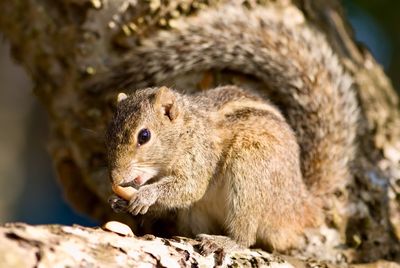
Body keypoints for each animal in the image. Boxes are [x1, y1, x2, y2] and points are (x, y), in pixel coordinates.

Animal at [97, 4, 360, 253]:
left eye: (144, 136)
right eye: (107, 135)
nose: (115, 178)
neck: (186, 131)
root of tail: (299, 207)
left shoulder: (200, 157)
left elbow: (189, 187)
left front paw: (145, 194)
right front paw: (118, 201)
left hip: (250, 173)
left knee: (246, 237)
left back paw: (224, 242)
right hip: (197, 212)